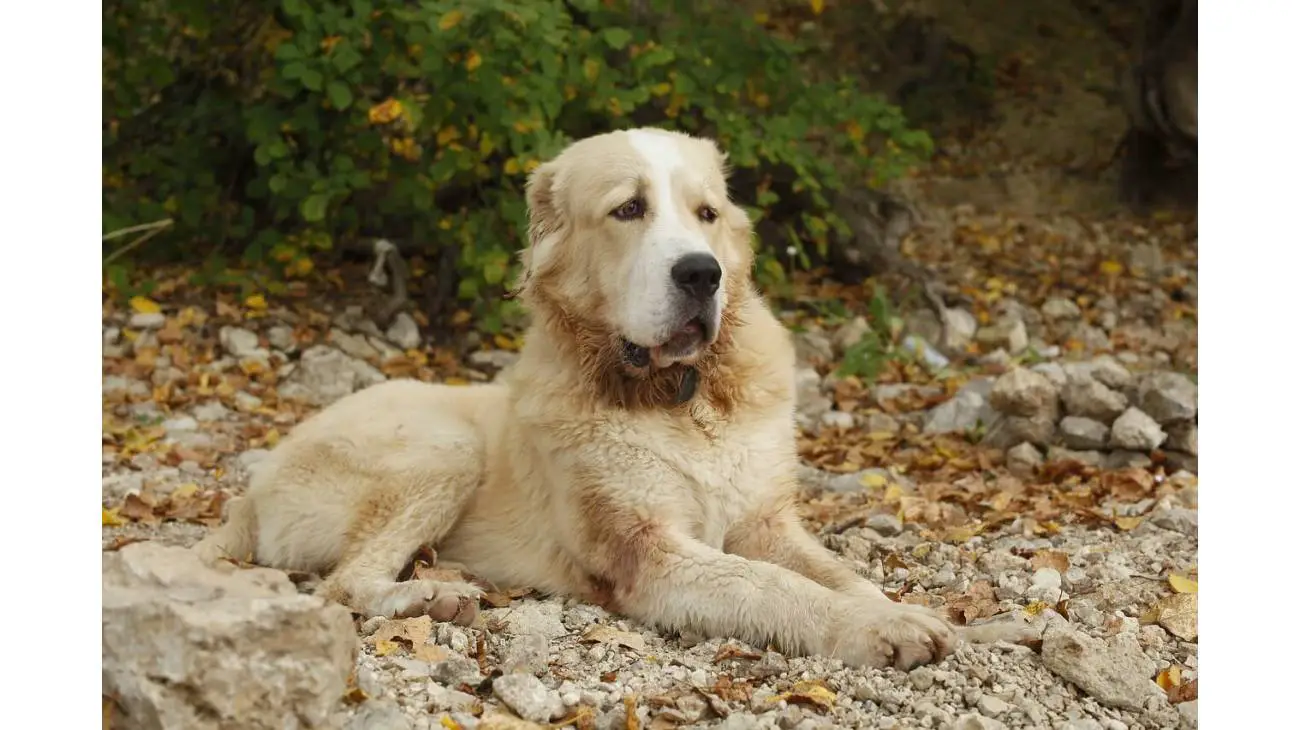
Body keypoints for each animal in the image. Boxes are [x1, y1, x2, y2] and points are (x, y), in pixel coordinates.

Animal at [197, 129, 1019, 665]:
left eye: (707, 214)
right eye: (629, 210)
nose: (701, 274)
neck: (682, 398)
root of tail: (250, 493)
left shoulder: (766, 521)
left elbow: (839, 573)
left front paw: (927, 617)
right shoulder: (646, 551)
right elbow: (769, 585)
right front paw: (879, 631)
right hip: (444, 446)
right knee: (344, 584)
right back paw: (425, 600)